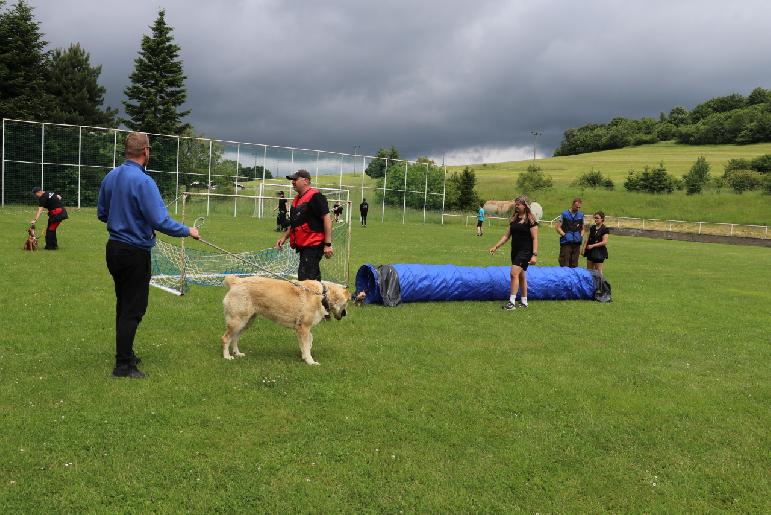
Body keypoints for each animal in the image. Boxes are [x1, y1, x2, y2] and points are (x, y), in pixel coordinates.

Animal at [222, 276, 352, 364]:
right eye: (347, 303)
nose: (346, 314)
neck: (323, 295)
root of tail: (235, 281)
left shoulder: (303, 329)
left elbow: (308, 342)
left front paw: (304, 356)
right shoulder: (304, 327)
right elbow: (306, 344)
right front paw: (310, 361)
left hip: (247, 322)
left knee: (235, 338)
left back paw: (237, 353)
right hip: (237, 321)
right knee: (226, 338)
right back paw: (227, 356)